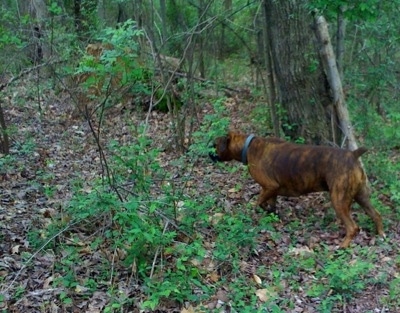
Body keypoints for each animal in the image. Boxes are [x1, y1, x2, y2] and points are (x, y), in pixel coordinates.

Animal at [211, 131, 386, 246]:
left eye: (214, 145)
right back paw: (381, 234)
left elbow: (259, 202)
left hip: (339, 200)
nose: (208, 153)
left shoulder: (269, 186)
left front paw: (261, 210)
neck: (247, 146)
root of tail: (352, 154)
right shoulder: (273, 190)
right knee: (376, 215)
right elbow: (271, 204)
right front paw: (273, 214)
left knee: (353, 227)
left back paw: (342, 246)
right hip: (362, 197)